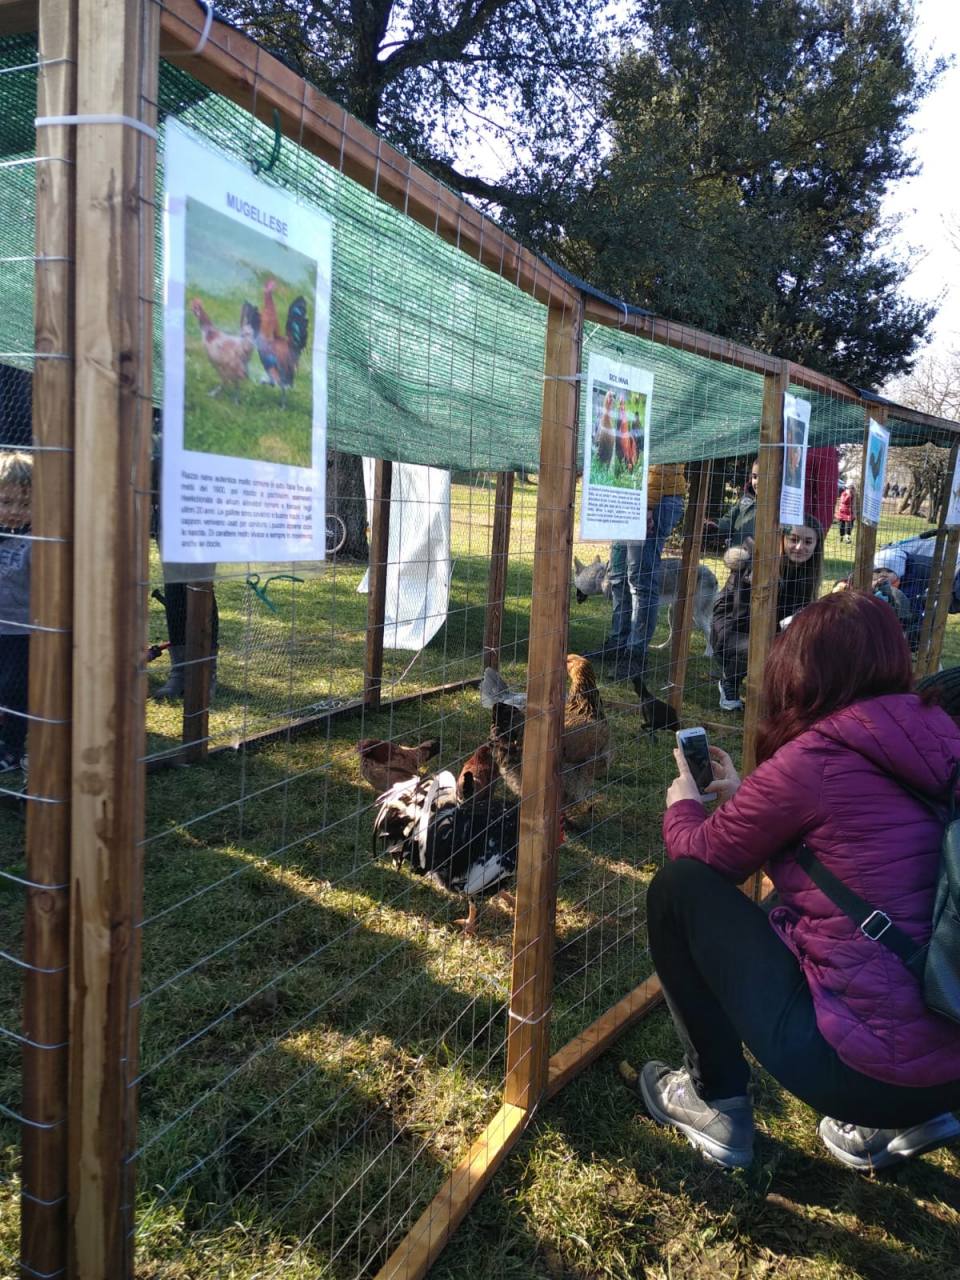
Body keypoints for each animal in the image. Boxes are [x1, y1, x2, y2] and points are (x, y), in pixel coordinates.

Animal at [576, 552, 716, 655]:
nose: (577, 598)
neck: (603, 578)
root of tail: (713, 575)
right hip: (673, 614)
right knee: (676, 633)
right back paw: (662, 648)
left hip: (697, 616)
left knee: (709, 631)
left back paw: (708, 654)